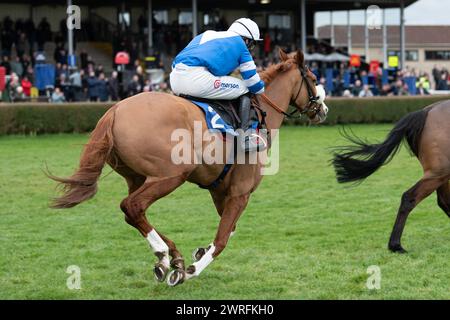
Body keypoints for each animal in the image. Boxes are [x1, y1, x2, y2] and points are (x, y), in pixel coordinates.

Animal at [47, 49, 326, 284]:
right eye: (313, 77)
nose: (323, 109)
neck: (261, 114)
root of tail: (114, 110)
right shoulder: (241, 192)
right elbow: (223, 238)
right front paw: (192, 270)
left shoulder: (220, 190)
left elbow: (230, 229)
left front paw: (197, 253)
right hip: (171, 175)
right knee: (132, 207)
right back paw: (165, 255)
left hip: (137, 178)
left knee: (133, 213)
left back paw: (171, 258)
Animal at [330, 101, 450, 254]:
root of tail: (426, 111)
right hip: (439, 173)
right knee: (410, 197)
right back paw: (396, 245)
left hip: (441, 173)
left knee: (443, 200)